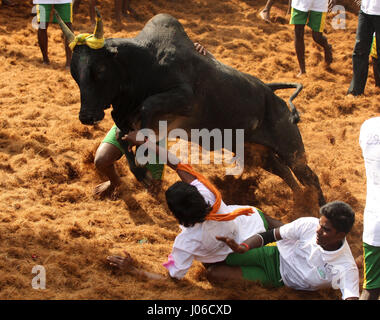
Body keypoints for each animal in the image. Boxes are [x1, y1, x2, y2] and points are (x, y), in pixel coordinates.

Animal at [58, 11, 326, 206]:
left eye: (100, 70)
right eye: (75, 72)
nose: (87, 116)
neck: (144, 65)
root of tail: (271, 93)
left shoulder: (185, 99)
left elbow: (147, 109)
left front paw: (145, 159)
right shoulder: (122, 115)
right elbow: (125, 139)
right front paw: (142, 174)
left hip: (291, 149)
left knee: (309, 176)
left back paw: (318, 208)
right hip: (257, 152)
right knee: (284, 172)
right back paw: (300, 202)